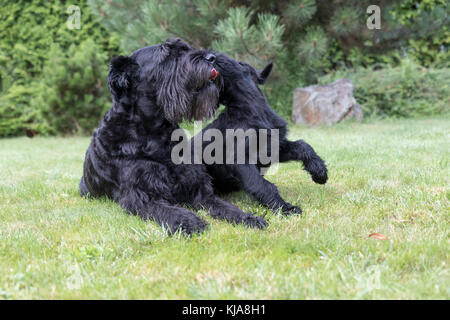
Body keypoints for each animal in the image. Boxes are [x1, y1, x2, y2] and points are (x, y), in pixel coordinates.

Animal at [80, 38, 268, 234]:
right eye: (167, 55)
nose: (212, 58)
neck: (154, 133)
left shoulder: (198, 188)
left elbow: (225, 205)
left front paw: (248, 218)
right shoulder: (142, 195)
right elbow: (169, 210)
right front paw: (190, 221)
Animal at [199, 53, 328, 215]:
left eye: (241, 62)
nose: (210, 56)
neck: (250, 109)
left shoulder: (272, 147)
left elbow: (303, 145)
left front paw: (319, 171)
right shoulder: (239, 160)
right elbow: (263, 185)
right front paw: (285, 208)